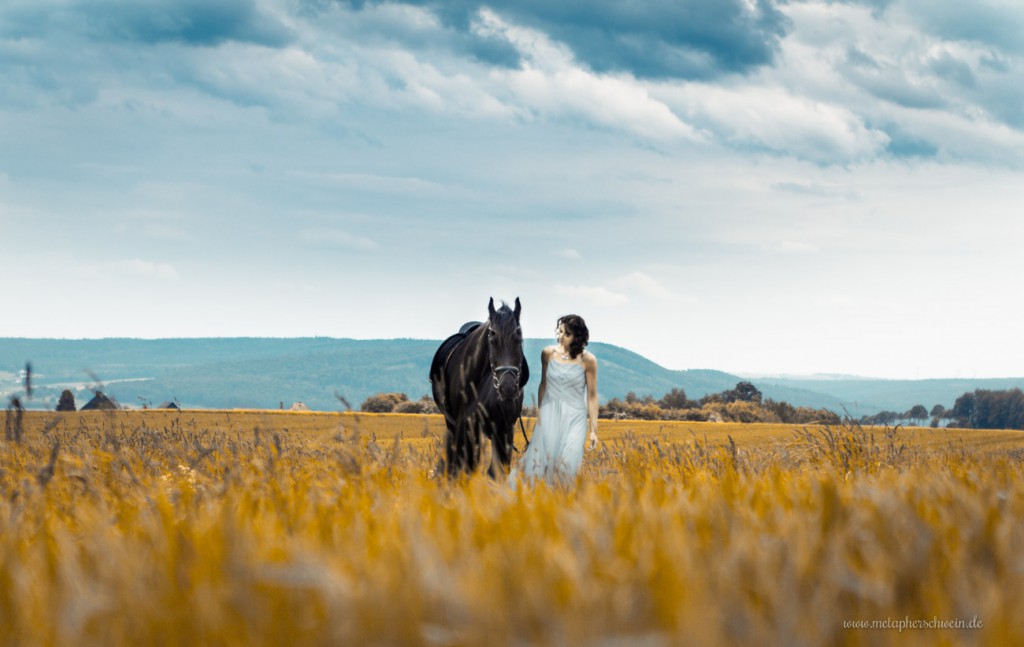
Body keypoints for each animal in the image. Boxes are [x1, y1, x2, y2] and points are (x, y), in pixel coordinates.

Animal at [430, 298, 532, 481]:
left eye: (519, 339)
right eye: (492, 340)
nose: (507, 388)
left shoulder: (504, 430)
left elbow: (496, 472)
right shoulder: (465, 428)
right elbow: (465, 467)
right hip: (454, 426)